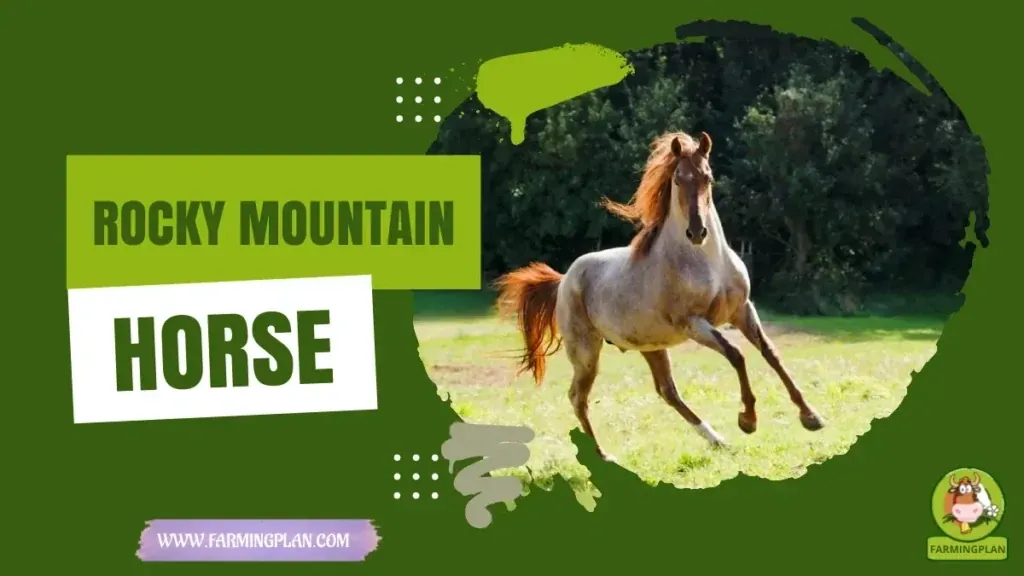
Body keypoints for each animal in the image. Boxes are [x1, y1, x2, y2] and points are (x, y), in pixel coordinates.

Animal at [494, 130, 825, 462]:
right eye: (678, 179)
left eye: (708, 177)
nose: (697, 232)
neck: (706, 263)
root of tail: (564, 280)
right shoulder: (694, 323)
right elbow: (736, 354)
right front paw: (748, 420)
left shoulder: (742, 310)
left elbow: (771, 353)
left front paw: (810, 417)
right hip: (587, 354)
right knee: (578, 397)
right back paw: (604, 456)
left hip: (651, 346)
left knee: (668, 392)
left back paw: (717, 440)